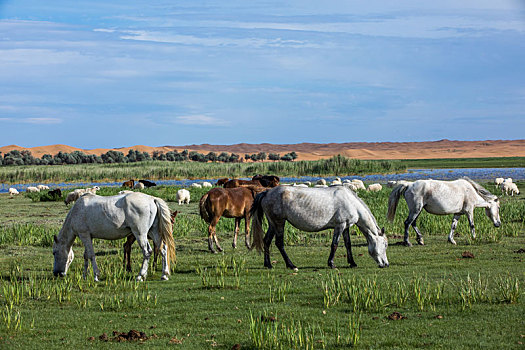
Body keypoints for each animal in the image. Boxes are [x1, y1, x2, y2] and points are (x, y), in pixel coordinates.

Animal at [250, 186, 388, 270]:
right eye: (385, 245)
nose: (386, 264)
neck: (351, 202)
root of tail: (267, 192)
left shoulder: (346, 227)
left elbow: (348, 244)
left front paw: (352, 263)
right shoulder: (340, 226)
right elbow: (334, 245)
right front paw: (331, 264)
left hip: (272, 224)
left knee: (266, 241)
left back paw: (268, 264)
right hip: (279, 223)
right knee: (279, 243)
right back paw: (291, 265)